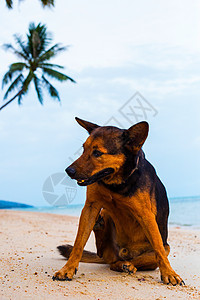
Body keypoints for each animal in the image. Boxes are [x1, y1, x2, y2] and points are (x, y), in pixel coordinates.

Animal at [52, 117, 184, 286]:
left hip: (163, 248)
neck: (116, 184)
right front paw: (67, 269)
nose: (68, 171)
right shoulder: (90, 207)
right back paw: (102, 231)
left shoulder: (146, 215)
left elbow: (159, 249)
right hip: (105, 226)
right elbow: (78, 244)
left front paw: (169, 273)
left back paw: (127, 265)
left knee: (139, 259)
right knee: (105, 254)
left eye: (97, 153)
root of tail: (122, 254)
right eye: (83, 149)